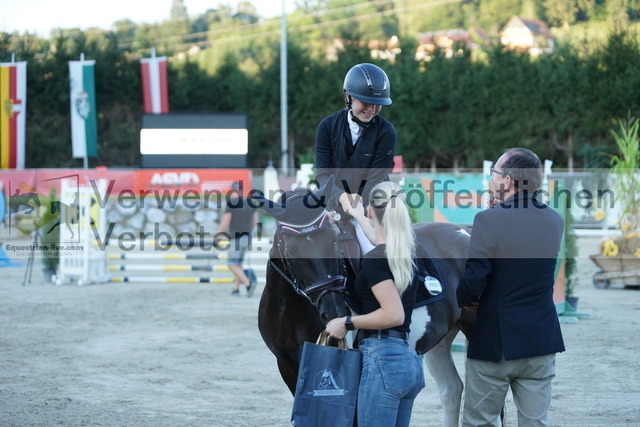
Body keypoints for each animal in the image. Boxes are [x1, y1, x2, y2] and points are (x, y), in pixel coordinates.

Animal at [258, 186, 472, 426]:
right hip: (440, 341)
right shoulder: (286, 364)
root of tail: (465, 232)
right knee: (452, 389)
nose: (335, 311)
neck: (290, 310)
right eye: (291, 250)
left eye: (334, 241)